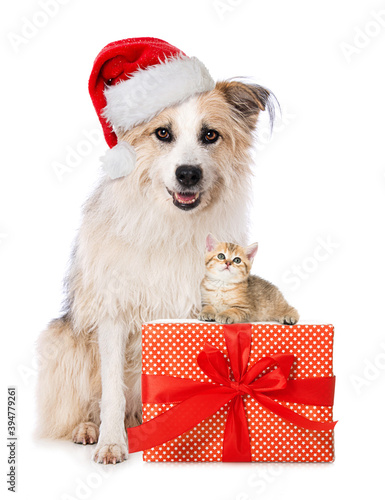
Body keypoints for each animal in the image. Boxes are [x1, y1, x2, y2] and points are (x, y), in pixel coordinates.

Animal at [36, 39, 272, 464]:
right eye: (163, 132)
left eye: (210, 135)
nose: (188, 173)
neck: (172, 225)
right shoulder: (113, 312)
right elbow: (112, 390)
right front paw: (112, 443)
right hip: (64, 343)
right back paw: (89, 429)